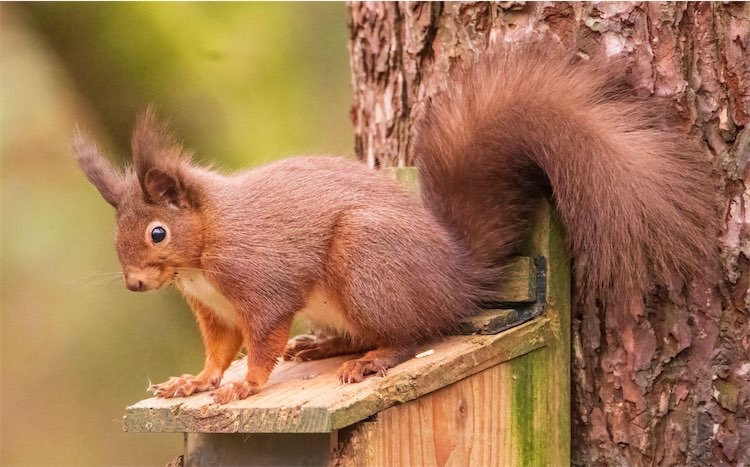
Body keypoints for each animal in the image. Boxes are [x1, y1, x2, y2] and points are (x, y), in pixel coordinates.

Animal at [72, 47, 716, 406]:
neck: (202, 255)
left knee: (418, 331)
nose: (133, 283)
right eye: (116, 234)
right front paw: (195, 381)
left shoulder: (259, 280)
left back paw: (374, 359)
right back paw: (324, 345)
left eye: (157, 232)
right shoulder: (213, 309)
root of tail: (454, 277)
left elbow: (262, 338)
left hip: (365, 261)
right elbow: (218, 350)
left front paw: (245, 385)